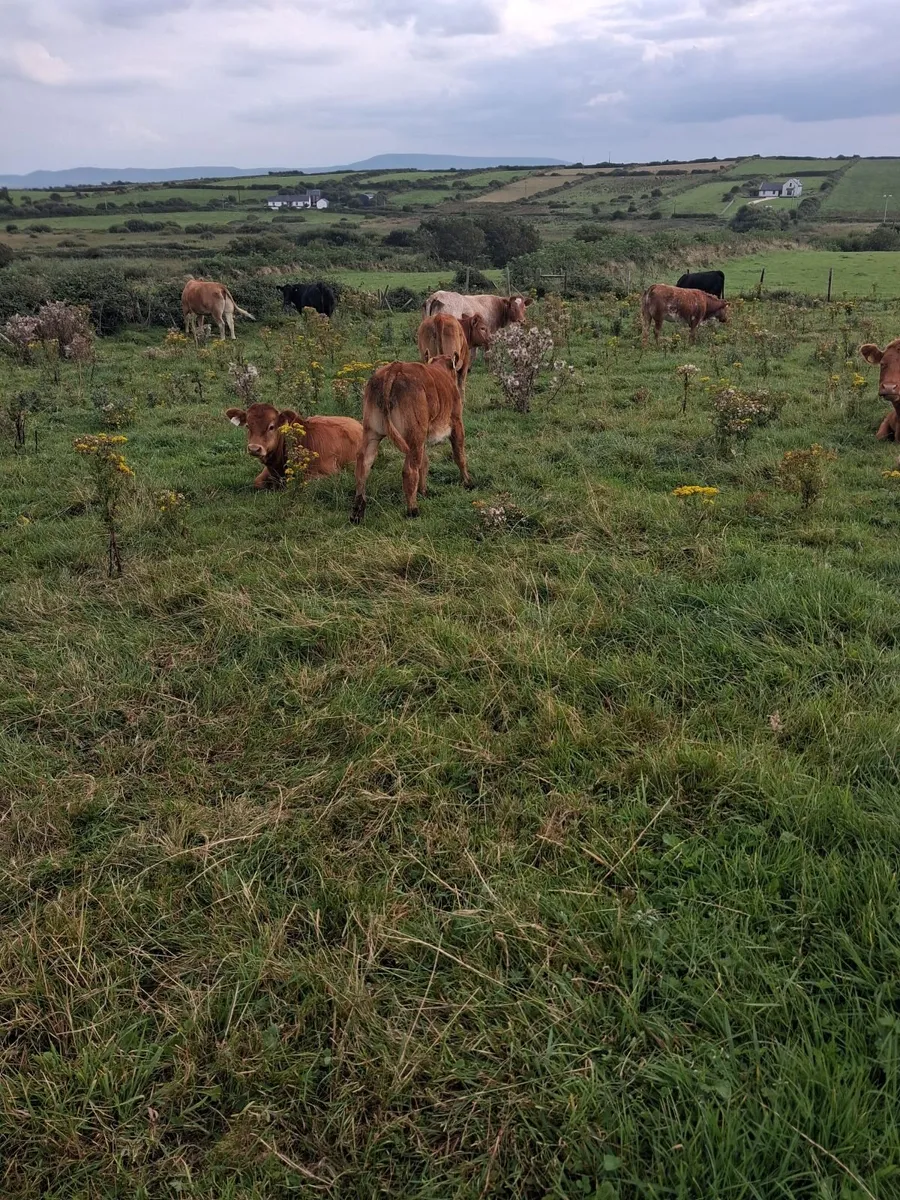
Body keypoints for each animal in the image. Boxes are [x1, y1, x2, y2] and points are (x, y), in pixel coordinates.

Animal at [350, 356, 473, 524]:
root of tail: (394, 368)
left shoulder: (423, 438)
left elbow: (425, 463)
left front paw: (423, 491)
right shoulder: (457, 423)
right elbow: (459, 456)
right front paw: (467, 483)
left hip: (372, 434)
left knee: (363, 465)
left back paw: (357, 512)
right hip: (414, 439)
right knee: (409, 470)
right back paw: (413, 510)